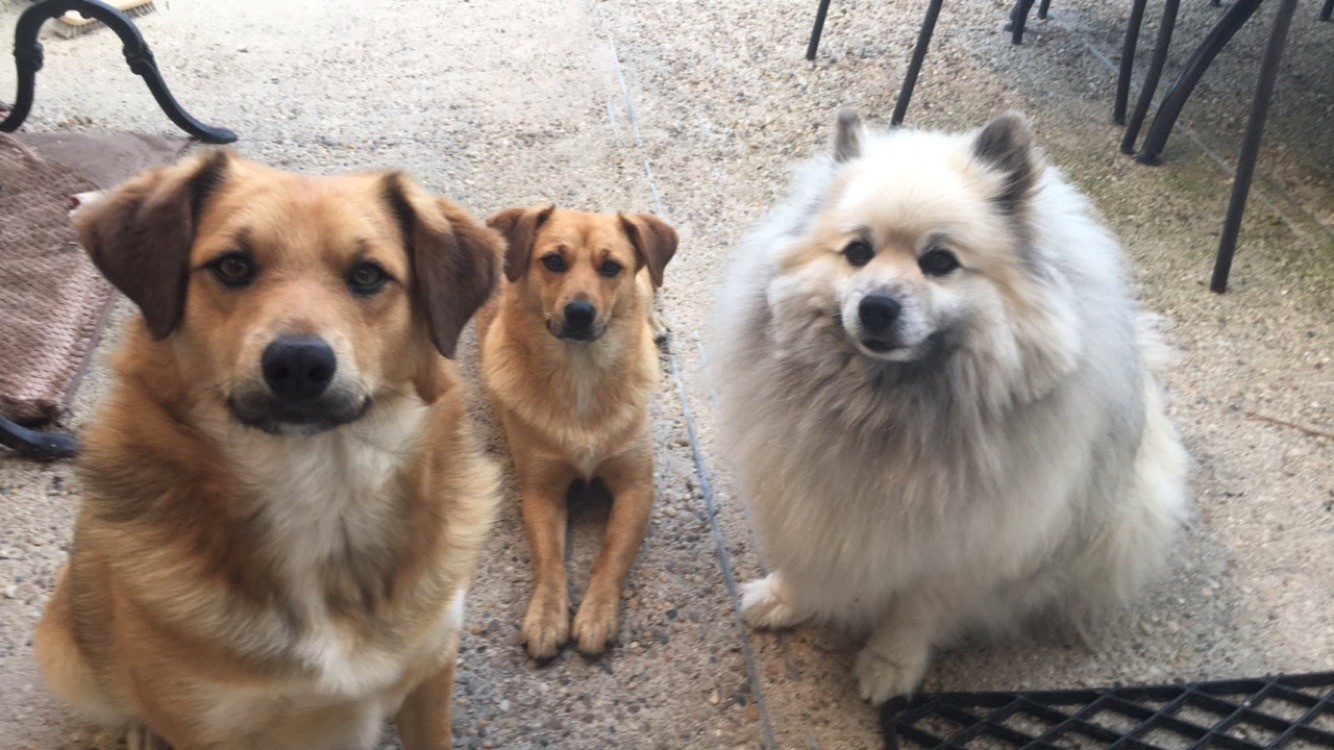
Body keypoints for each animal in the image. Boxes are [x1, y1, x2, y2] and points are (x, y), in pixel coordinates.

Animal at [37, 152, 504, 747]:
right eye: (233, 266)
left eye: (368, 274)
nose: (299, 363)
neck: (316, 487)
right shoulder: (203, 726)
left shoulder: (431, 672)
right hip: (64, 648)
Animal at [477, 204, 677, 653]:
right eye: (553, 261)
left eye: (611, 267)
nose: (580, 313)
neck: (581, 372)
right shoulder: (540, 491)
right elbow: (550, 559)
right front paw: (546, 615)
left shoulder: (637, 487)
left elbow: (612, 555)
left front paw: (597, 614)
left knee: (647, 289)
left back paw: (653, 322)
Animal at [709, 109, 1189, 699]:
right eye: (858, 253)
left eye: (939, 261)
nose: (876, 307)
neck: (889, 405)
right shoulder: (807, 499)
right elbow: (809, 562)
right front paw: (785, 598)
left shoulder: (965, 546)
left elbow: (917, 610)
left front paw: (890, 664)